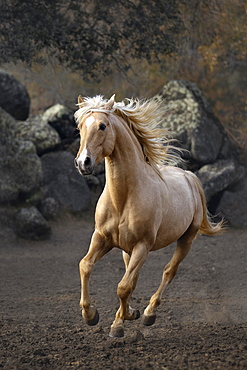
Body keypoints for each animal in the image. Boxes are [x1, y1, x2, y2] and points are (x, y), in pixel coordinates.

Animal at [74, 94, 224, 336]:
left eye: (102, 126)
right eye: (80, 127)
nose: (83, 163)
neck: (123, 198)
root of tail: (189, 175)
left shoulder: (143, 245)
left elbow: (123, 286)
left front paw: (119, 324)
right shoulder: (102, 238)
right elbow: (86, 266)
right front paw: (92, 316)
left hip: (186, 239)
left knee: (168, 272)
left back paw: (148, 314)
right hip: (126, 249)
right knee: (132, 276)